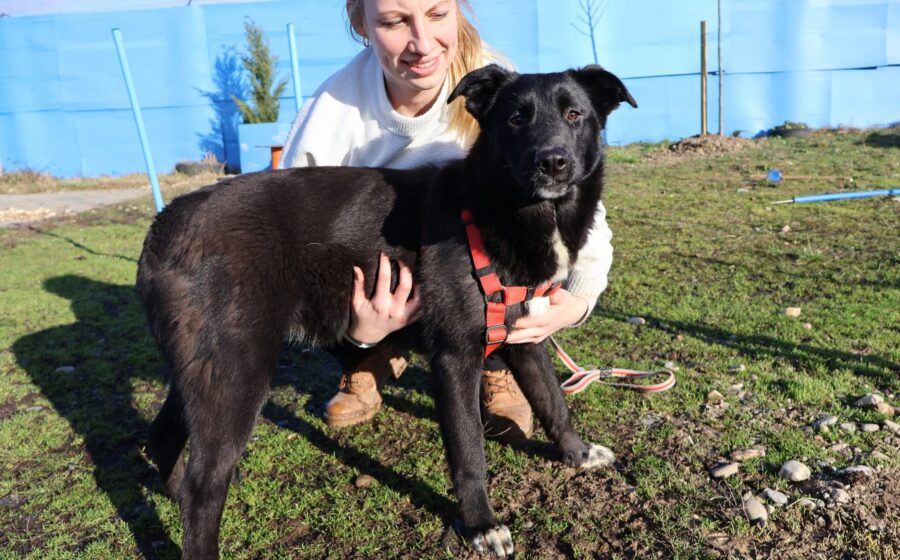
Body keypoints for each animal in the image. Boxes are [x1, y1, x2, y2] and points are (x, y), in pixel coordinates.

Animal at [136, 63, 636, 558]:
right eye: (516, 119)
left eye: (574, 114)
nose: (553, 161)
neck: (500, 210)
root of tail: (164, 224)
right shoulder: (454, 356)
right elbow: (469, 449)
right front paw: (481, 524)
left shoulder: (527, 337)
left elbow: (553, 402)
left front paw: (577, 453)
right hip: (237, 371)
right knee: (203, 487)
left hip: (203, 368)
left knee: (162, 441)